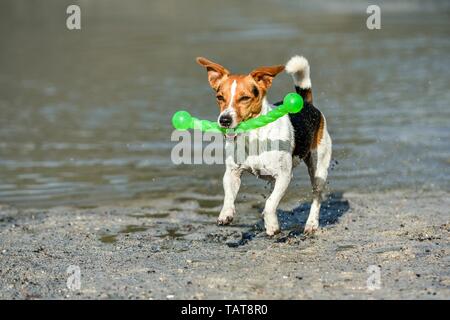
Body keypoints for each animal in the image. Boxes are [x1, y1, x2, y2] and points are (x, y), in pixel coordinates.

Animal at [196, 55, 330, 235]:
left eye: (245, 98)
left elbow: (270, 203)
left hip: (318, 168)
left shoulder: (284, 176)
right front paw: (226, 214)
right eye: (220, 97)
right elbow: (229, 196)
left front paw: (272, 225)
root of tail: (306, 102)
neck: (253, 136)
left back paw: (311, 224)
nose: (224, 120)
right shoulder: (232, 173)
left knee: (316, 195)